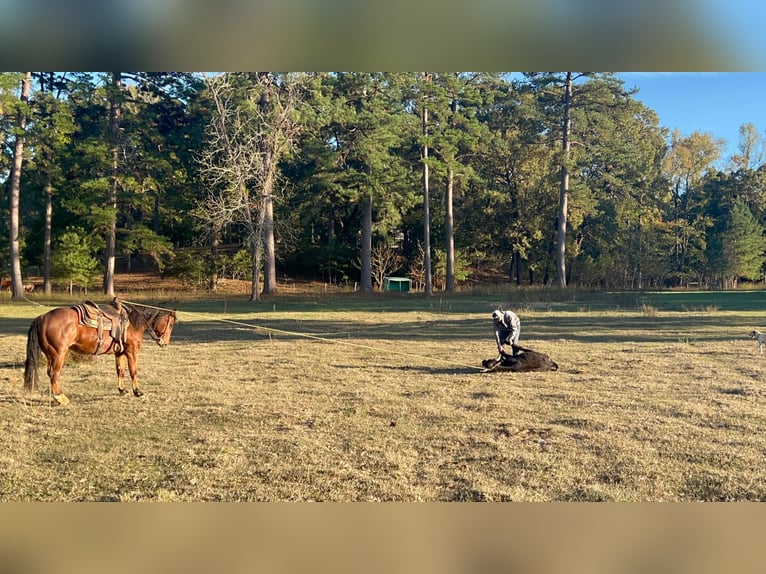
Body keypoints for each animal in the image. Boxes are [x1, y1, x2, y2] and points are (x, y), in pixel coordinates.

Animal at [23, 300, 177, 408]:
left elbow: (120, 371)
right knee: (54, 374)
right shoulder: (132, 351)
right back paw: (61, 398)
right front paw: (137, 392)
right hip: (58, 355)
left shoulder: (119, 352)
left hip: (50, 355)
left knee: (50, 373)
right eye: (170, 324)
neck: (132, 322)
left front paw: (123, 390)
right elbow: (133, 371)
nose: (165, 343)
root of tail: (42, 317)